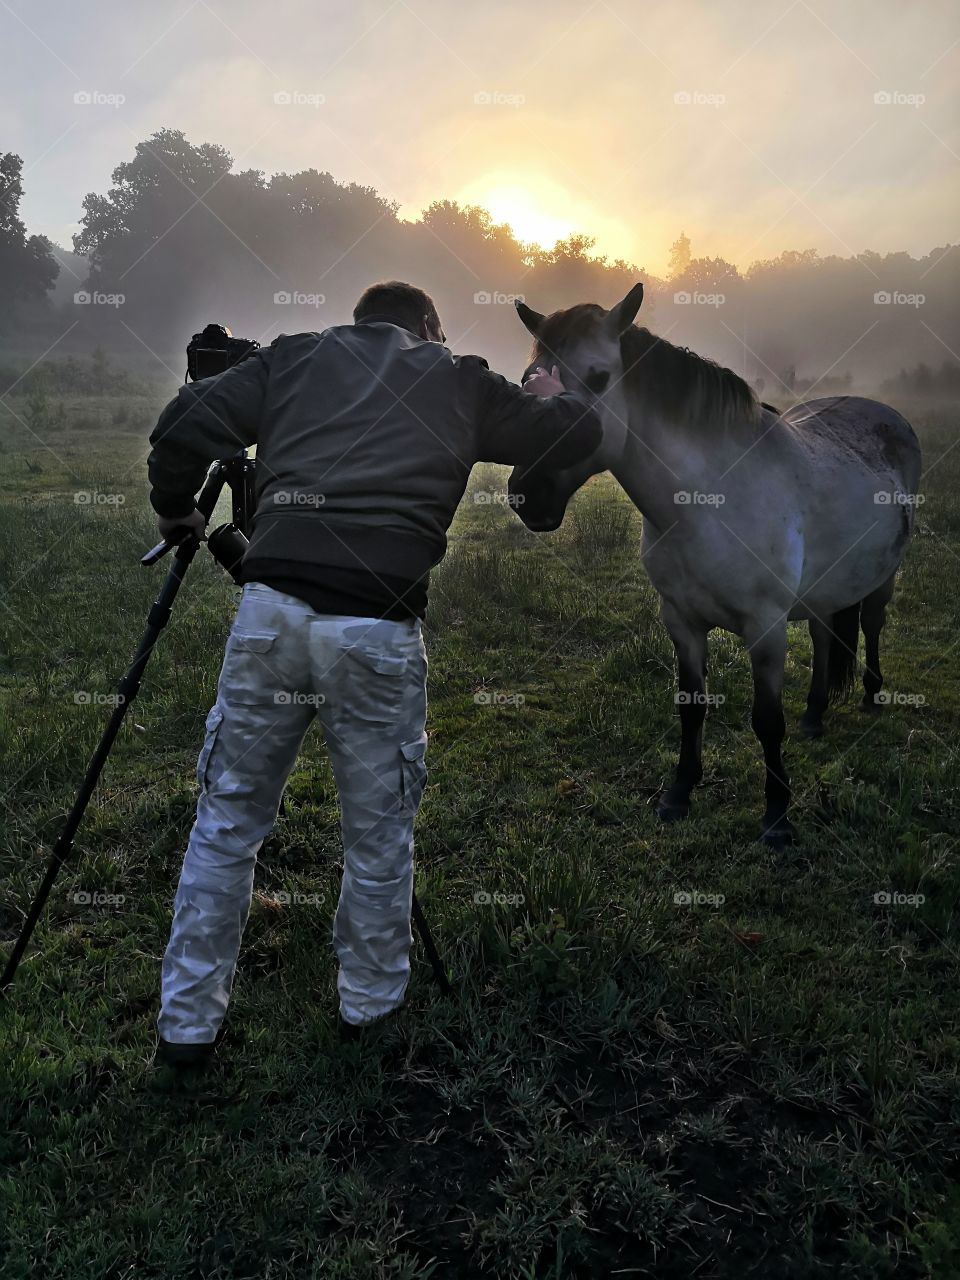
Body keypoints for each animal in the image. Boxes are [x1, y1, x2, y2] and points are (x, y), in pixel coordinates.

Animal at [508, 284, 922, 848]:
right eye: (527, 381)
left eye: (596, 378)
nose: (527, 493)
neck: (706, 500)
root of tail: (886, 413)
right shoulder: (681, 621)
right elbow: (691, 706)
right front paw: (679, 794)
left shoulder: (765, 627)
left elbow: (767, 721)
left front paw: (777, 818)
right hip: (822, 590)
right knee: (822, 635)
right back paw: (815, 715)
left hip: (884, 576)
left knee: (874, 624)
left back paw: (873, 695)